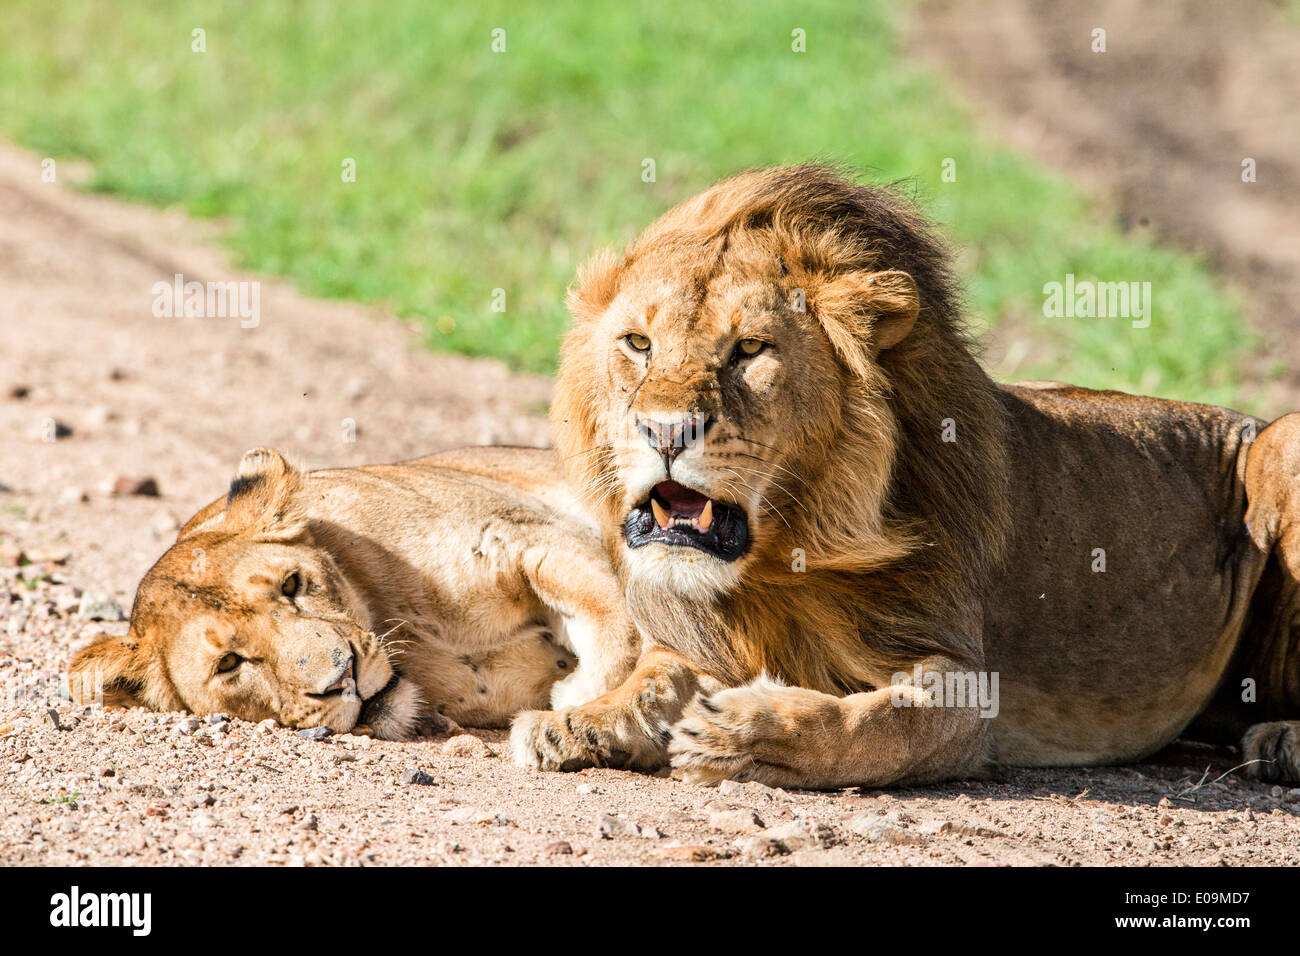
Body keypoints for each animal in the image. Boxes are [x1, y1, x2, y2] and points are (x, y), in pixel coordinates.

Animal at [71, 444, 639, 738]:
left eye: (292, 584)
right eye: (230, 663)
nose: (342, 677)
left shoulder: (524, 530)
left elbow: (622, 624)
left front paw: (575, 698)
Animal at [506, 164, 1300, 790]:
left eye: (751, 350)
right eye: (638, 343)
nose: (666, 430)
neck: (780, 562)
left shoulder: (967, 679)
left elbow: (878, 724)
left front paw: (746, 734)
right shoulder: (701, 638)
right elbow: (653, 677)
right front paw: (577, 722)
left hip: (1283, 443)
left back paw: (1281, 743)